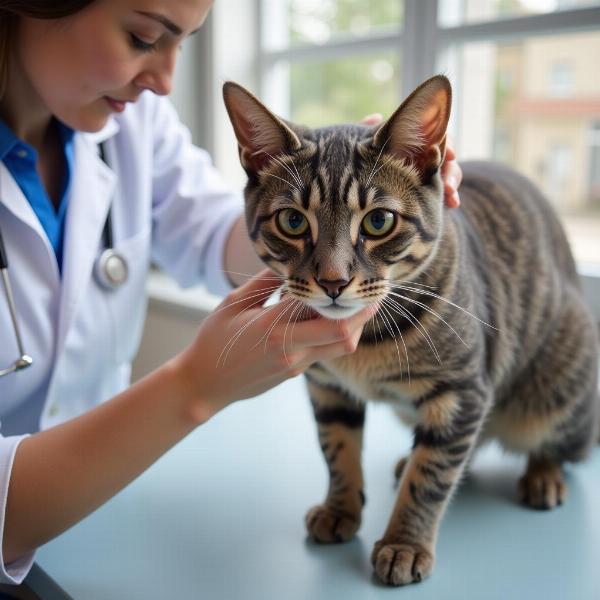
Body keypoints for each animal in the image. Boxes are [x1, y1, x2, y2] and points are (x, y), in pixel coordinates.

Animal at [223, 75, 596, 584]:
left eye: (379, 221)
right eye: (293, 221)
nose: (333, 282)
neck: (362, 343)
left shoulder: (462, 390)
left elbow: (431, 476)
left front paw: (405, 542)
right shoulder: (327, 387)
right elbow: (337, 450)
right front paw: (340, 508)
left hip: (558, 380)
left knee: (559, 442)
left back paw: (543, 474)